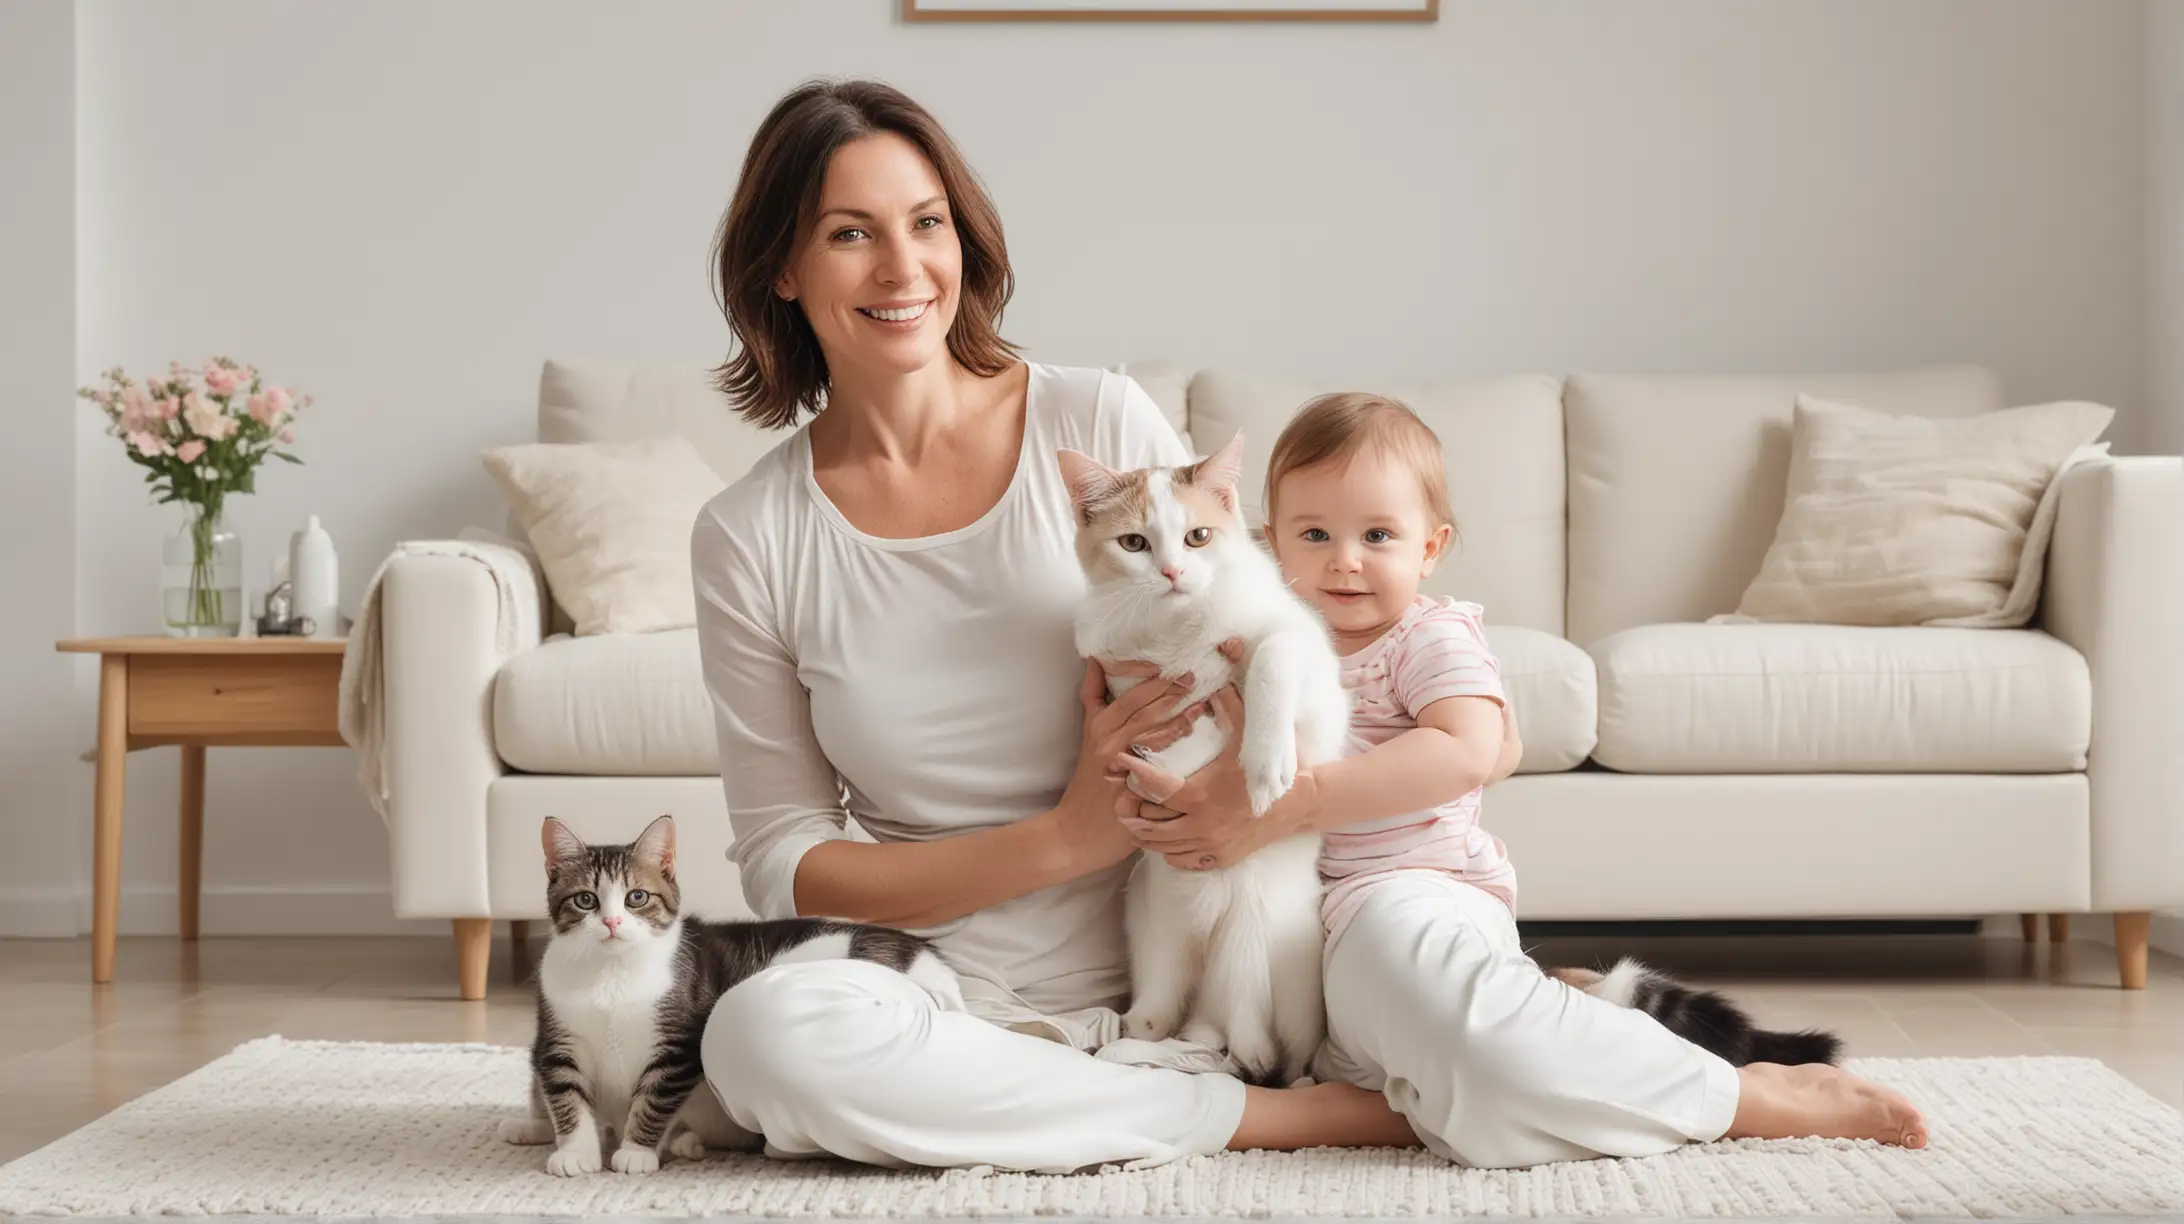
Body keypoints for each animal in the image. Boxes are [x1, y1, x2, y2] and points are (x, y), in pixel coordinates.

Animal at [1057, 434, 1345, 1084]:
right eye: (1133, 543)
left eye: (1198, 537)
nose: (1172, 572)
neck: (1179, 630)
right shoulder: (1115, 672)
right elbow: (1172, 718)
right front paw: (1162, 759)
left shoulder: (1315, 690)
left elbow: (1267, 664)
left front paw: (1262, 765)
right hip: (1158, 936)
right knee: (1166, 1019)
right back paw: (1136, 1039)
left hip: (1281, 971)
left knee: (1281, 1056)